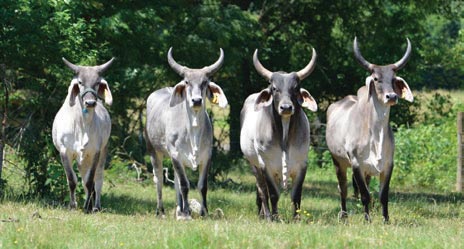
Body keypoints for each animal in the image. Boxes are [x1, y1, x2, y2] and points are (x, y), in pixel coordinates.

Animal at [52, 57, 114, 213]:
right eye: (80, 82)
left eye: (97, 82)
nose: (90, 102)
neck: (81, 124)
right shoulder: (64, 152)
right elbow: (72, 180)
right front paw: (72, 205)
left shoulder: (95, 152)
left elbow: (90, 181)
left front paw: (87, 206)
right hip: (82, 160)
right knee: (82, 178)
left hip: (102, 152)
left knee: (97, 179)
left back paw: (95, 206)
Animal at [143, 47, 227, 220]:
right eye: (187, 82)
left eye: (205, 82)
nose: (196, 101)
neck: (193, 132)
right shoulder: (175, 155)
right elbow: (184, 184)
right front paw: (187, 214)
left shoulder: (207, 156)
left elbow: (202, 186)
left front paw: (203, 212)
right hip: (154, 152)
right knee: (159, 179)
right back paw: (161, 211)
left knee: (174, 181)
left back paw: (178, 209)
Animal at [239, 48, 320, 222]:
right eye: (274, 88)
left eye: (295, 88)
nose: (286, 107)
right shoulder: (266, 165)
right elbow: (273, 194)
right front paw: (275, 218)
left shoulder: (302, 164)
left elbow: (296, 195)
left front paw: (297, 219)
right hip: (254, 166)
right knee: (262, 192)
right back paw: (266, 215)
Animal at [326, 36, 414, 222]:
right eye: (376, 79)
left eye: (393, 79)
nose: (392, 96)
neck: (376, 133)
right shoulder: (356, 164)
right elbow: (365, 195)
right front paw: (367, 219)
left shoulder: (388, 165)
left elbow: (383, 195)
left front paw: (385, 219)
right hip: (338, 161)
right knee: (343, 189)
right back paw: (344, 214)